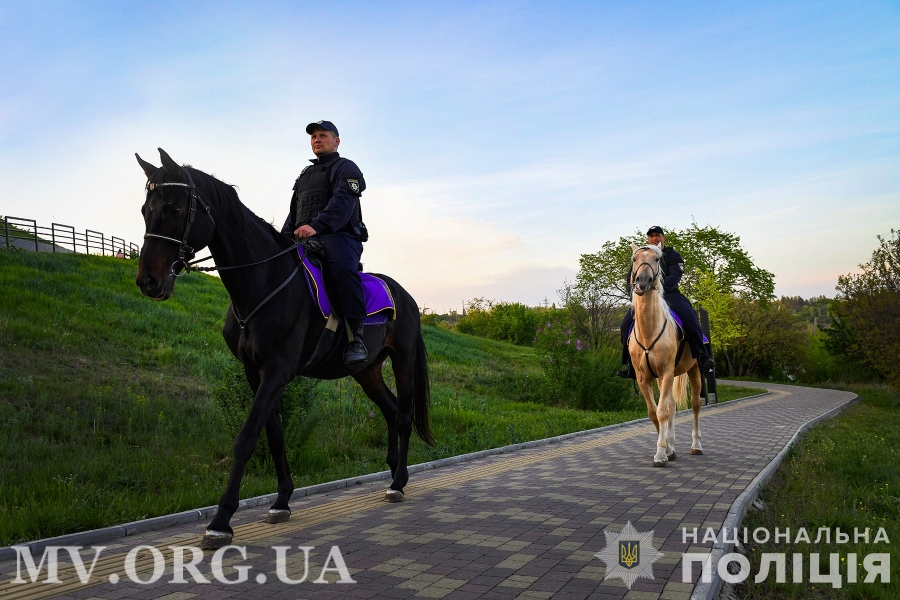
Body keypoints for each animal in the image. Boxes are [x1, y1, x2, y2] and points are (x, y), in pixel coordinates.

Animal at [134, 148, 433, 549]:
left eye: (174, 208)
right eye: (145, 209)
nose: (149, 281)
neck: (263, 282)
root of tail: (406, 296)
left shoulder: (277, 370)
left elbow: (247, 437)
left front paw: (221, 521)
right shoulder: (256, 372)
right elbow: (274, 436)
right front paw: (281, 501)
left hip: (401, 360)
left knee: (402, 416)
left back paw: (398, 483)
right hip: (366, 371)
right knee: (389, 410)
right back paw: (391, 472)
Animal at [628, 243, 703, 467]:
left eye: (656, 259)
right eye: (634, 259)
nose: (642, 281)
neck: (649, 330)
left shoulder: (667, 372)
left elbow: (662, 412)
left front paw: (660, 455)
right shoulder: (643, 378)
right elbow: (654, 412)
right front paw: (668, 449)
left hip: (695, 370)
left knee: (695, 404)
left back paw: (696, 445)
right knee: (671, 405)